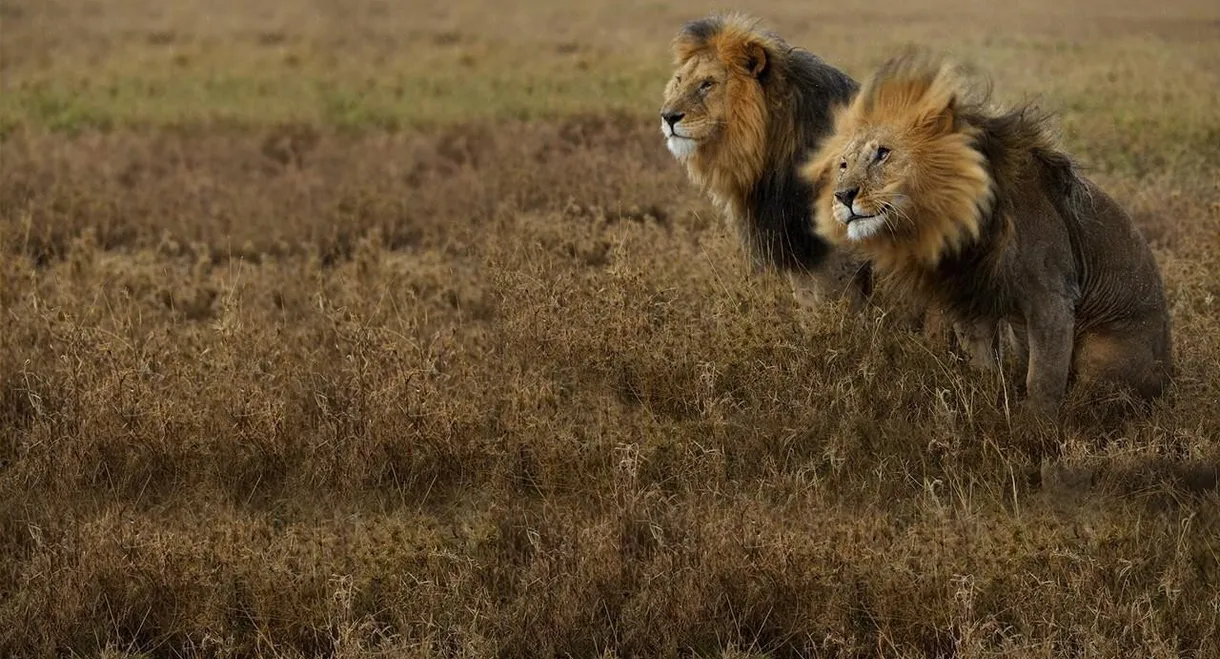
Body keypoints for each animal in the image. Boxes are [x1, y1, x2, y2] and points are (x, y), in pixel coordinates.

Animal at [801, 50, 1174, 412]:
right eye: (843, 165)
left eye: (883, 154)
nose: (843, 196)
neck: (954, 222)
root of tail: (1170, 376)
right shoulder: (969, 297)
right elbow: (983, 365)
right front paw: (989, 401)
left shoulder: (1052, 297)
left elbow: (1042, 379)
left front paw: (1035, 424)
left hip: (1102, 349)